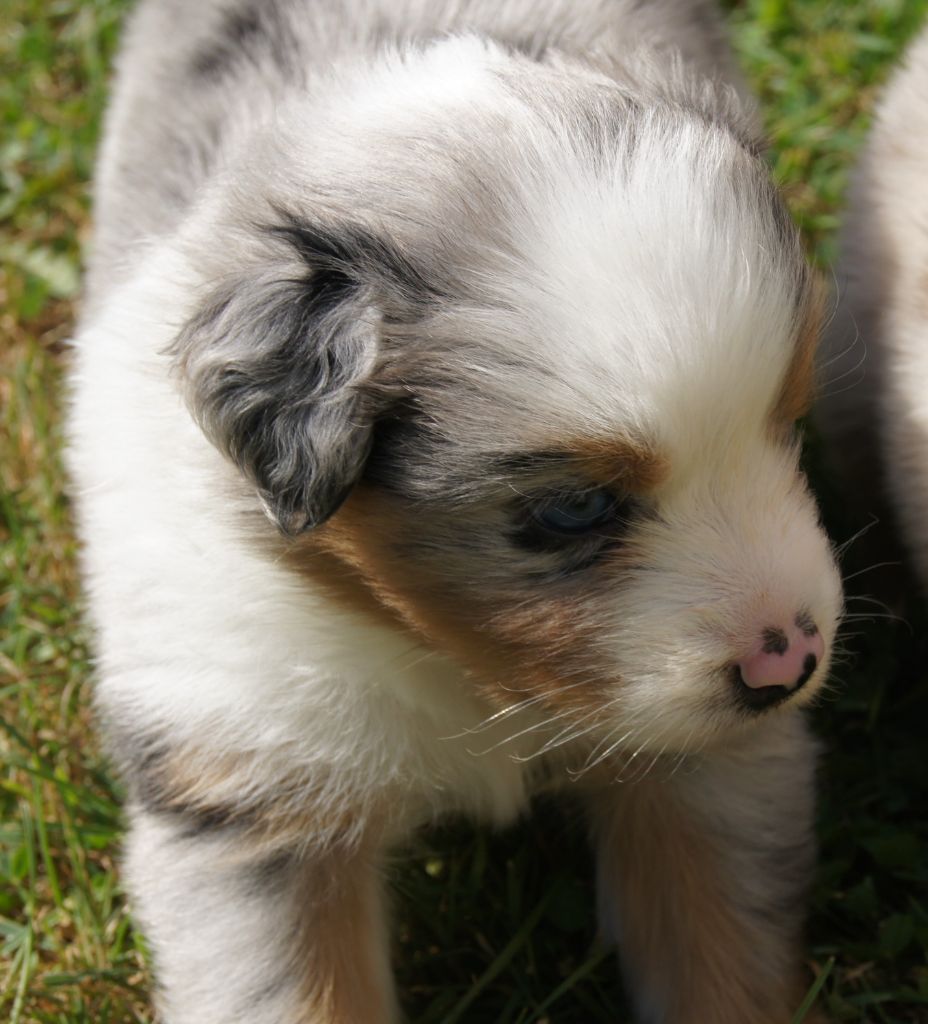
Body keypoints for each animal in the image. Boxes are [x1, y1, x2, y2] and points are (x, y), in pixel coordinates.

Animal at [69, 1, 843, 1021]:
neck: (455, 667)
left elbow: (717, 952)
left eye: (786, 423)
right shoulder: (246, 791)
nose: (790, 661)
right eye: (573, 509)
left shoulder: (715, 768)